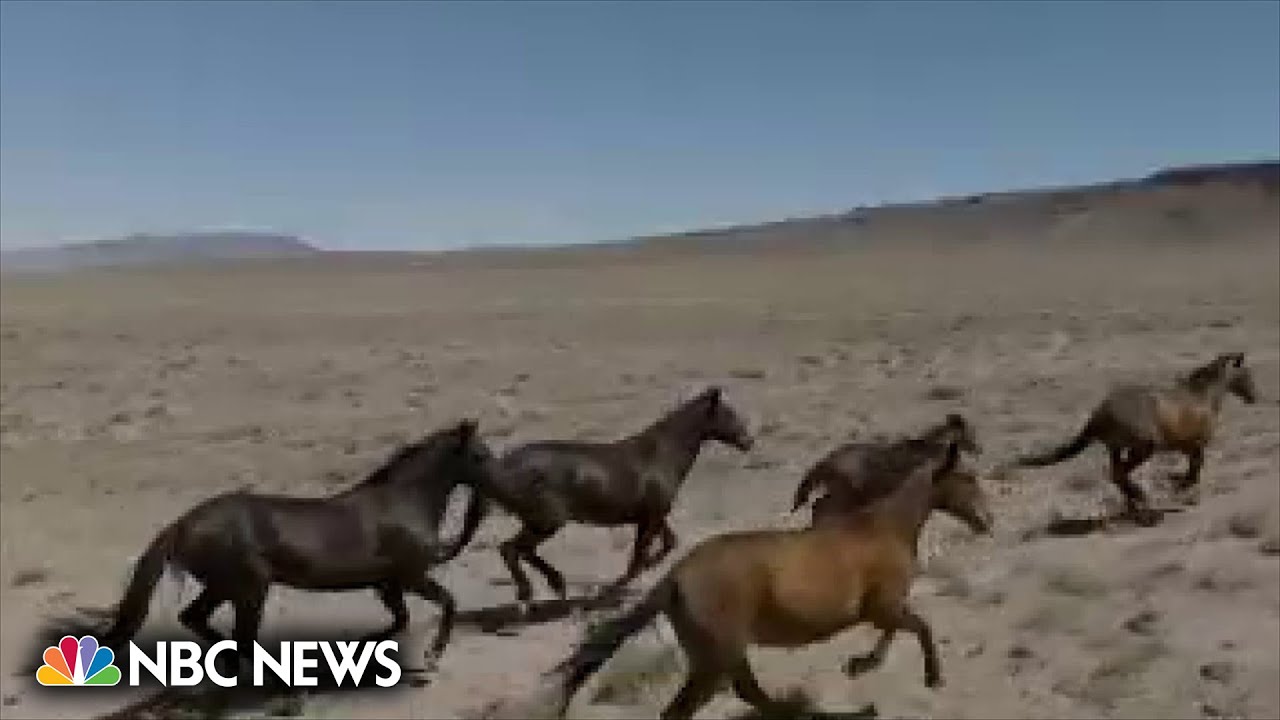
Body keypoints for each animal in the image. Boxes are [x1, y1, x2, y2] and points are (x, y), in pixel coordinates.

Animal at [99, 419, 496, 667]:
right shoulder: (411, 577)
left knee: (196, 619)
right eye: (480, 456)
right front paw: (432, 657)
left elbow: (399, 621)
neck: (403, 501)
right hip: (249, 588)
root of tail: (181, 524)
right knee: (239, 638)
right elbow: (448, 603)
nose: (499, 485)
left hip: (225, 586)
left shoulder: (387, 584)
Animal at [465, 386, 753, 613]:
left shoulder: (653, 515)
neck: (661, 454)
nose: (748, 441)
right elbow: (638, 559)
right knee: (511, 549)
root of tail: (504, 463)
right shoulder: (651, 516)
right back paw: (528, 596)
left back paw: (554, 585)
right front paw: (610, 592)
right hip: (546, 522)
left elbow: (668, 543)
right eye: (728, 414)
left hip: (538, 522)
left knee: (520, 550)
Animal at [548, 439, 992, 720]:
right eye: (968, 479)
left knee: (746, 695)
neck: (886, 527)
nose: (987, 520)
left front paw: (860, 665)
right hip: (717, 656)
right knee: (691, 708)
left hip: (719, 653)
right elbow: (919, 628)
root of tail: (675, 578)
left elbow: (900, 631)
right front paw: (931, 677)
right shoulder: (882, 607)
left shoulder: (883, 609)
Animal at [791, 412, 981, 523]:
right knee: (820, 507)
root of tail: (825, 460)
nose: (979, 448)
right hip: (846, 494)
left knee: (819, 506)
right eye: (969, 433)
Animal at [1012, 352, 1257, 523]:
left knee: (1116, 474)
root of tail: (1101, 412)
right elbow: (1195, 470)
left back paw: (1135, 507)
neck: (1203, 396)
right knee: (1120, 474)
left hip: (1116, 447)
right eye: (1247, 374)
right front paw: (1178, 485)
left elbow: (1195, 469)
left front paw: (1177, 484)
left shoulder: (1187, 446)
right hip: (1144, 447)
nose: (1254, 396)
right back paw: (1144, 505)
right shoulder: (1194, 445)